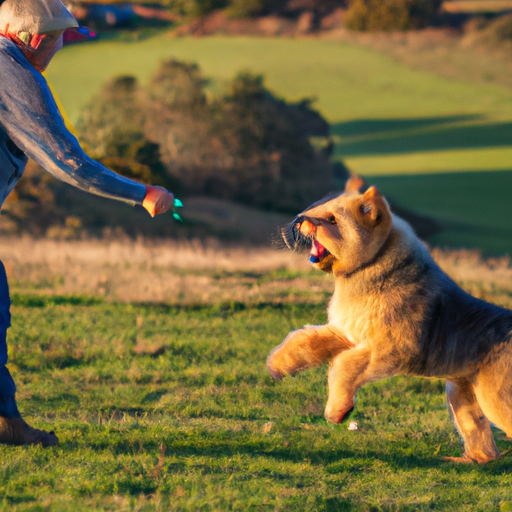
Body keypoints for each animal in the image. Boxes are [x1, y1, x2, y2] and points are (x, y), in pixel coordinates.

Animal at [266, 176, 512, 464]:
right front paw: (278, 366)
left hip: (495, 398)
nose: (298, 219)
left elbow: (343, 366)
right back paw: (466, 461)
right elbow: (304, 340)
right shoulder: (344, 333)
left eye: (331, 220)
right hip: (461, 391)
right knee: (483, 443)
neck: (371, 268)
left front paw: (337, 412)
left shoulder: (389, 349)